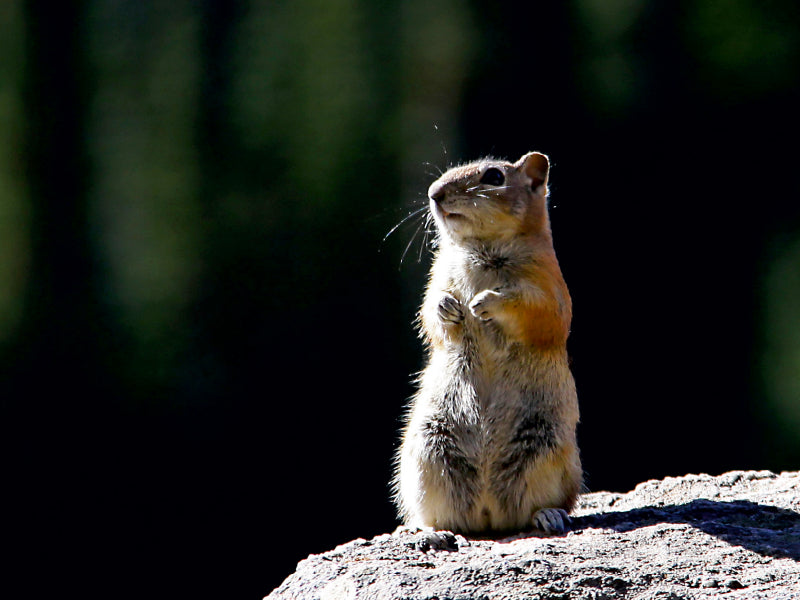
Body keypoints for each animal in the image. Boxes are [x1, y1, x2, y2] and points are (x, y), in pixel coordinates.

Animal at [393, 151, 582, 538]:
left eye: (494, 177)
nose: (434, 193)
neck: (480, 248)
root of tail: (488, 513)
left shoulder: (549, 289)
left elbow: (533, 310)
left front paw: (485, 302)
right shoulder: (437, 276)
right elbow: (429, 311)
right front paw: (448, 307)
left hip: (547, 451)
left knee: (537, 505)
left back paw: (548, 515)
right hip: (427, 452)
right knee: (441, 516)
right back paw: (429, 531)